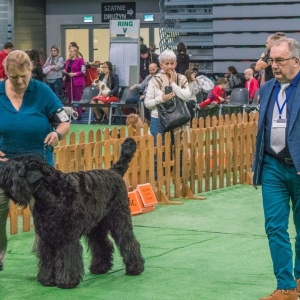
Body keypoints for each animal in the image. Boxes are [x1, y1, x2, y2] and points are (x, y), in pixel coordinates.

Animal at [0, 138, 144, 288]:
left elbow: (67, 259)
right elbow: (48, 261)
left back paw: (135, 268)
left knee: (128, 241)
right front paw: (47, 279)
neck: (53, 192)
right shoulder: (46, 238)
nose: (2, 180)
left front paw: (66, 281)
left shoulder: (67, 237)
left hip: (119, 219)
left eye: (17, 169)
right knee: (102, 244)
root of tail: (114, 172)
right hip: (96, 226)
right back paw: (100, 267)